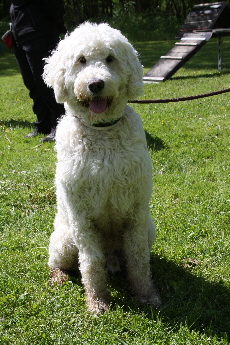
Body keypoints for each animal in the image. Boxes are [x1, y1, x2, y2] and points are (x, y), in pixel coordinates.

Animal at [43, 20, 162, 312]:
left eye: (110, 58)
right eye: (81, 60)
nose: (96, 84)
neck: (102, 132)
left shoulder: (136, 213)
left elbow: (139, 260)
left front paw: (147, 294)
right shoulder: (82, 219)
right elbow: (90, 263)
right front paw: (97, 302)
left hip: (149, 228)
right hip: (64, 240)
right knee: (58, 263)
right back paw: (59, 277)